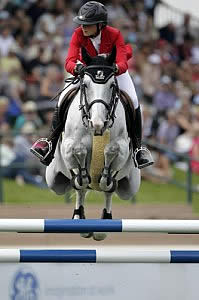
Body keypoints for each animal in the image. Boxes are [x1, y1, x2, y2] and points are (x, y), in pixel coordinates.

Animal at [45, 47, 141, 241]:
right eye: (86, 85)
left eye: (112, 86)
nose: (98, 124)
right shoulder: (68, 146)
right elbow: (78, 153)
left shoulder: (122, 149)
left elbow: (111, 155)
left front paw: (104, 176)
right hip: (54, 180)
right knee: (79, 188)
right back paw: (79, 219)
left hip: (130, 187)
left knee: (110, 191)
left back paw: (102, 225)